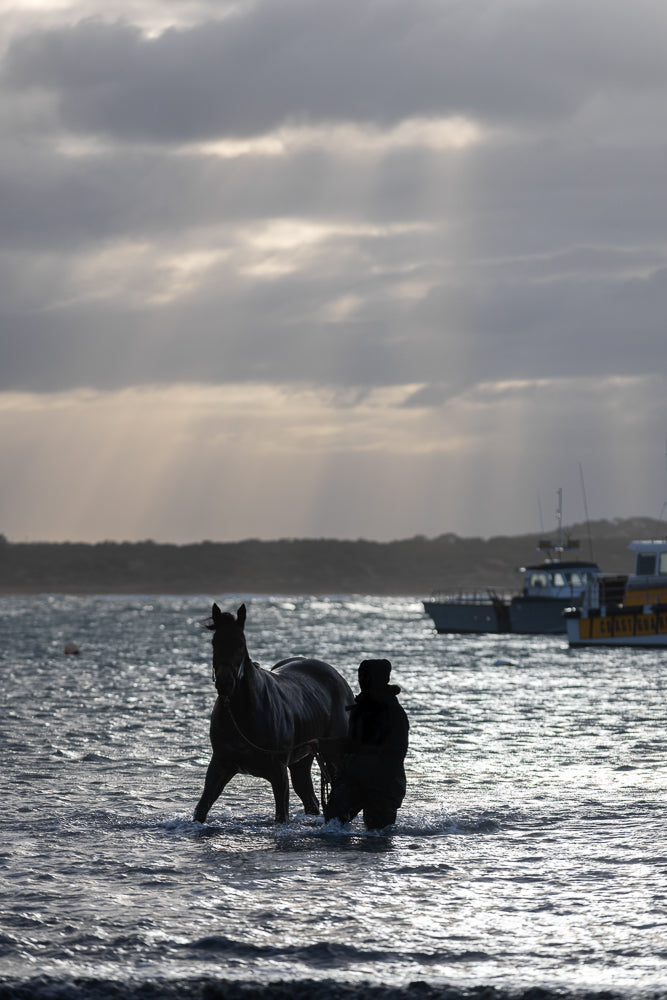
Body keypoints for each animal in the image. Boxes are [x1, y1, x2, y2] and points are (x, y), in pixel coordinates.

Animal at [193, 602, 354, 824]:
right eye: (214, 642)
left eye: (241, 643)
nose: (225, 683)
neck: (243, 715)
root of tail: (338, 678)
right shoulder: (220, 765)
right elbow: (201, 808)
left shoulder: (278, 772)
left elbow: (281, 816)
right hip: (302, 760)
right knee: (310, 798)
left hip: (332, 757)